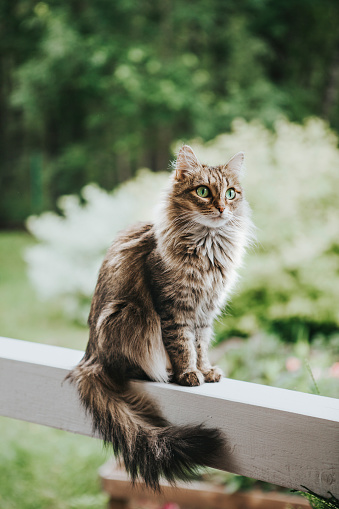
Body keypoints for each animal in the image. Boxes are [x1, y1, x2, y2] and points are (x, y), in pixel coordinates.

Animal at [66, 144, 254, 488]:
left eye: (231, 193)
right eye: (203, 192)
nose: (222, 208)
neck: (208, 248)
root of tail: (89, 357)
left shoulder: (205, 313)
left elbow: (201, 347)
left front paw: (206, 371)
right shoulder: (173, 308)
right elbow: (182, 345)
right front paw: (188, 374)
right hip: (131, 316)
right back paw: (162, 372)